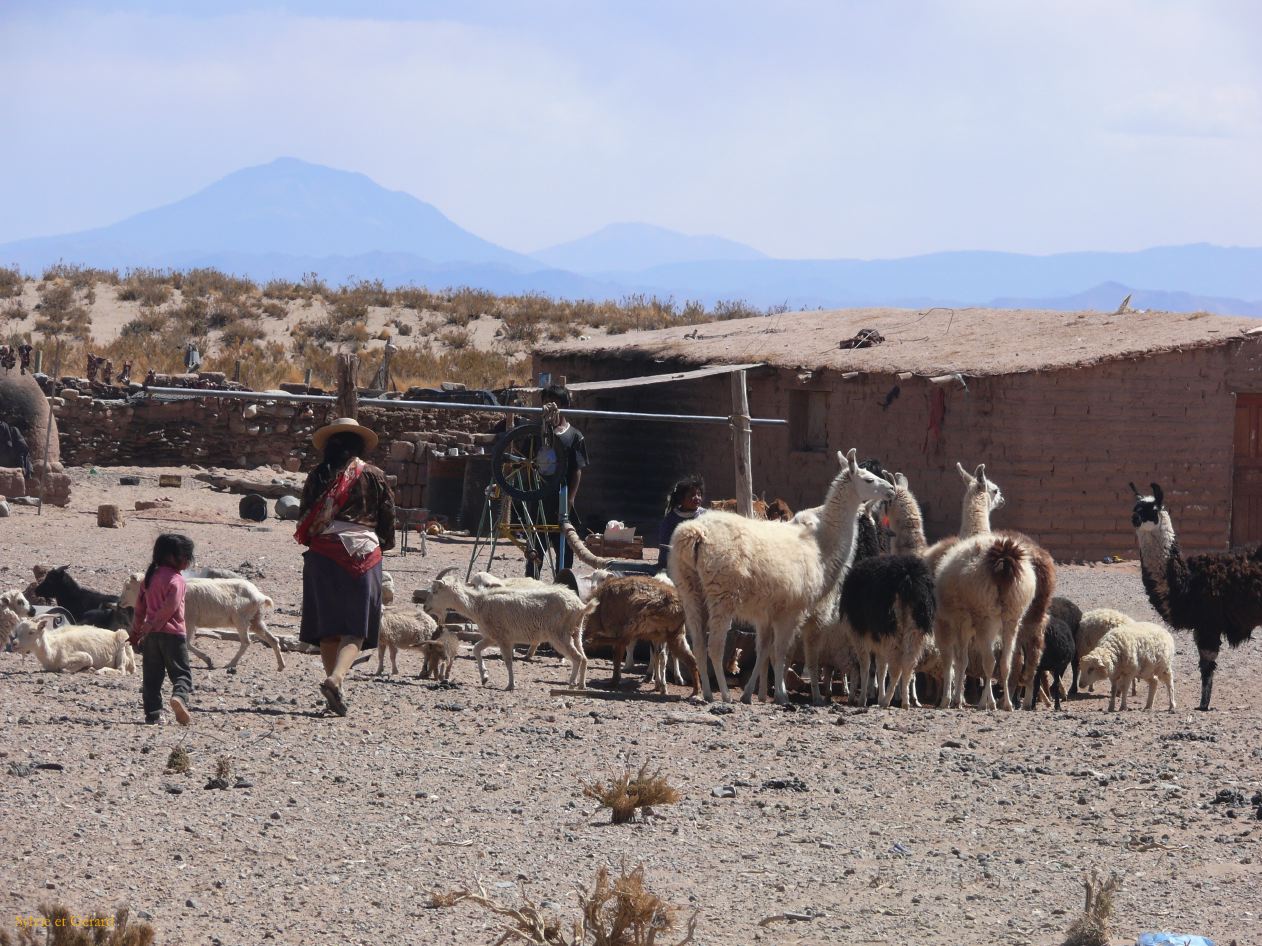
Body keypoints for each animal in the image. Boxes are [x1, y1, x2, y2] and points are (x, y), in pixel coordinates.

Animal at [119, 570, 285, 676]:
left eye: (128, 587)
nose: (120, 602)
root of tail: (260, 595)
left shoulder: (189, 620)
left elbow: (187, 643)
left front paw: (208, 660)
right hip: (256, 620)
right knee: (273, 639)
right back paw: (280, 666)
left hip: (241, 620)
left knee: (246, 642)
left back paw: (231, 664)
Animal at [424, 575, 590, 691]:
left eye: (435, 591)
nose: (425, 607)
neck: (479, 604)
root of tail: (580, 606)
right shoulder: (491, 637)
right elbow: (476, 649)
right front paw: (484, 677)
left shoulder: (503, 638)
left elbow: (508, 661)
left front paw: (510, 685)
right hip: (576, 633)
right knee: (584, 658)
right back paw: (581, 685)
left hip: (559, 635)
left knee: (577, 657)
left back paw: (571, 684)